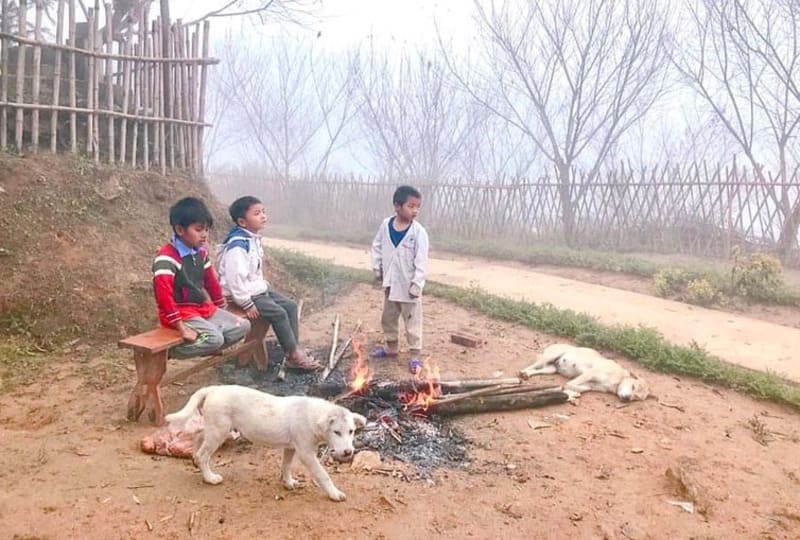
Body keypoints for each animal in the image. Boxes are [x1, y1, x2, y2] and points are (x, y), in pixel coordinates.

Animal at [167, 384, 370, 502]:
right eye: (336, 432)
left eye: (351, 431)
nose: (348, 452)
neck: (313, 416)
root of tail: (213, 389)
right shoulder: (306, 453)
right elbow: (323, 475)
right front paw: (334, 493)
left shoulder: (290, 448)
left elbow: (286, 466)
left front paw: (288, 483)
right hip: (219, 430)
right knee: (204, 454)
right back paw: (209, 477)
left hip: (216, 429)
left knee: (198, 435)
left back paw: (194, 458)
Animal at [520, 346, 648, 400]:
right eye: (633, 386)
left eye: (636, 398)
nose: (627, 399)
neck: (619, 379)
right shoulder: (590, 374)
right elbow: (569, 384)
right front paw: (567, 391)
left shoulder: (589, 385)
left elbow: (581, 389)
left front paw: (572, 393)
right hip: (549, 357)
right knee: (531, 366)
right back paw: (522, 372)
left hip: (551, 369)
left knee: (536, 370)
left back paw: (527, 374)